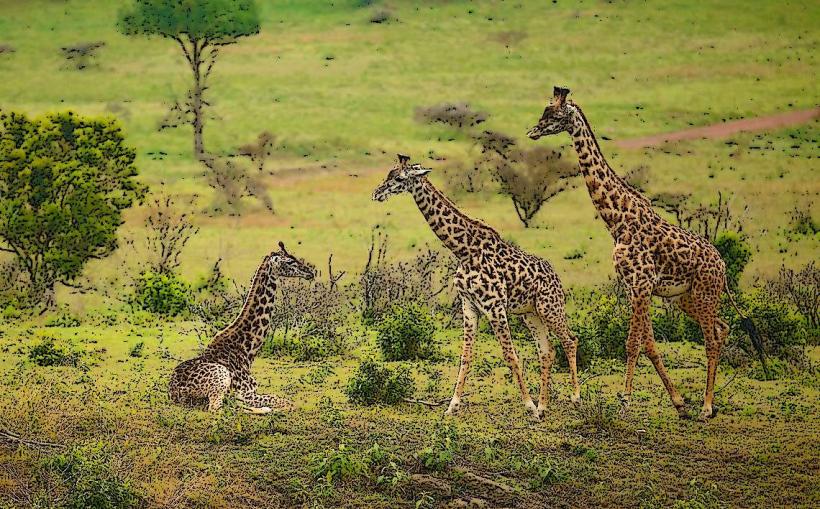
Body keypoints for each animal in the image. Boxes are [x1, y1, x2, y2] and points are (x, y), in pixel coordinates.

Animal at [168, 242, 316, 412]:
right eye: (290, 262)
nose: (310, 273)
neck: (247, 350)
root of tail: (175, 393)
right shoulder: (246, 392)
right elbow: (286, 402)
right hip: (221, 380)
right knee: (218, 408)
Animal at [374, 156, 580, 420]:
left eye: (399, 178)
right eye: (389, 174)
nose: (377, 193)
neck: (464, 250)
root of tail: (556, 277)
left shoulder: (495, 307)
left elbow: (511, 355)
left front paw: (528, 406)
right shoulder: (469, 305)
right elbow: (466, 356)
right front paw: (452, 405)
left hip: (549, 307)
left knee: (570, 340)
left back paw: (574, 398)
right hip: (530, 314)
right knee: (547, 350)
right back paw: (544, 407)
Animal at [528, 88, 740, 420]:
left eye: (554, 114)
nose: (533, 132)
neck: (617, 220)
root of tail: (722, 264)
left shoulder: (641, 284)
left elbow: (631, 343)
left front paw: (625, 400)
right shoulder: (636, 287)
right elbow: (649, 345)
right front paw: (678, 402)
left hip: (706, 294)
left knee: (712, 337)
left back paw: (707, 406)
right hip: (687, 298)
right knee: (723, 326)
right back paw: (706, 402)